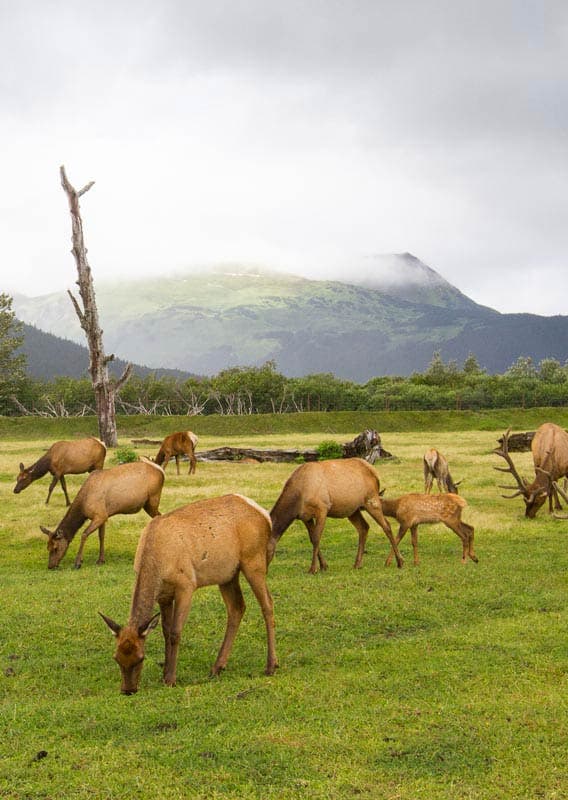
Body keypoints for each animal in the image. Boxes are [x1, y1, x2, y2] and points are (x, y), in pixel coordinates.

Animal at [100, 494, 278, 692]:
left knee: (267, 604)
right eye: (116, 657)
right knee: (237, 607)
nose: (128, 690)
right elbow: (165, 631)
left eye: (141, 658)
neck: (156, 562)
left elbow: (175, 632)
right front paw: (164, 673)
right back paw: (217, 667)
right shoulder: (164, 596)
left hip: (254, 560)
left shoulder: (186, 585)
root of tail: (265, 515)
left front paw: (171, 678)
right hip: (227, 574)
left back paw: (271, 666)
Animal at [270, 456, 404, 576]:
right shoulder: (305, 517)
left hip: (371, 500)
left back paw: (399, 561)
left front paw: (313, 569)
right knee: (364, 527)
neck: (298, 499)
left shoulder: (322, 509)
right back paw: (357, 564)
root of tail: (375, 474)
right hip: (353, 510)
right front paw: (323, 566)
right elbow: (312, 538)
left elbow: (316, 538)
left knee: (386, 526)